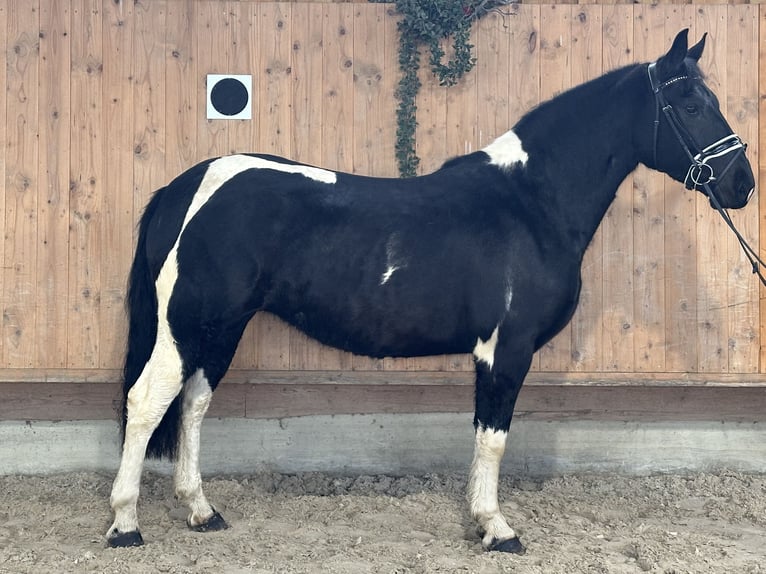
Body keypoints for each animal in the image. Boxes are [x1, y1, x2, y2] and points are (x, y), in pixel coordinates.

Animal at [106, 29, 756, 556]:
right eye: (691, 104)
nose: (741, 184)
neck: (530, 203)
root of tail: (185, 186)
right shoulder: (505, 349)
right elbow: (493, 439)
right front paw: (496, 528)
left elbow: (483, 435)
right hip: (188, 323)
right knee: (148, 400)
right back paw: (125, 525)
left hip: (221, 327)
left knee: (192, 404)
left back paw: (201, 511)